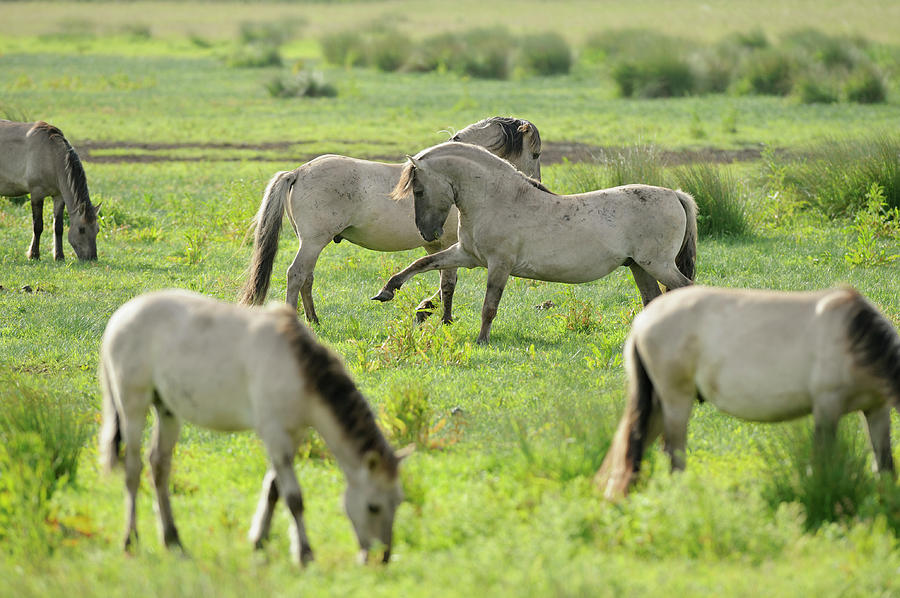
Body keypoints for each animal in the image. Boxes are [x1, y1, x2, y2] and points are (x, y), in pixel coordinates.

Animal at [0, 120, 99, 262]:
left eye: (97, 229)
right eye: (81, 229)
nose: (92, 258)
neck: (51, 155)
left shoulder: (59, 197)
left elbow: (58, 227)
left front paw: (59, 256)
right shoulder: (36, 194)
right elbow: (38, 226)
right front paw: (34, 255)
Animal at [239, 115, 540, 326]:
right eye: (535, 153)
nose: (536, 184)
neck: (451, 177)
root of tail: (298, 172)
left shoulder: (436, 245)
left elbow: (440, 278)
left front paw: (425, 310)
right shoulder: (450, 243)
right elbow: (448, 283)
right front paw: (443, 319)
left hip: (312, 244)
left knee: (307, 278)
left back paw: (314, 319)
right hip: (312, 242)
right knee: (296, 274)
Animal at [370, 142, 700, 346]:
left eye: (419, 190)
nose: (428, 233)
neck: (496, 199)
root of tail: (675, 195)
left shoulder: (499, 265)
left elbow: (489, 306)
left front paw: (482, 340)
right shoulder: (467, 255)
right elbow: (421, 263)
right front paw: (387, 291)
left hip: (657, 264)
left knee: (686, 290)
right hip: (639, 267)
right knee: (653, 300)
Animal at [596, 286, 900, 502]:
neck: (855, 339)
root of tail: (641, 323)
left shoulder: (877, 409)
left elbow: (885, 462)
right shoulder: (827, 407)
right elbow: (822, 459)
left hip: (657, 405)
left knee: (631, 444)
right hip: (675, 401)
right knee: (673, 454)